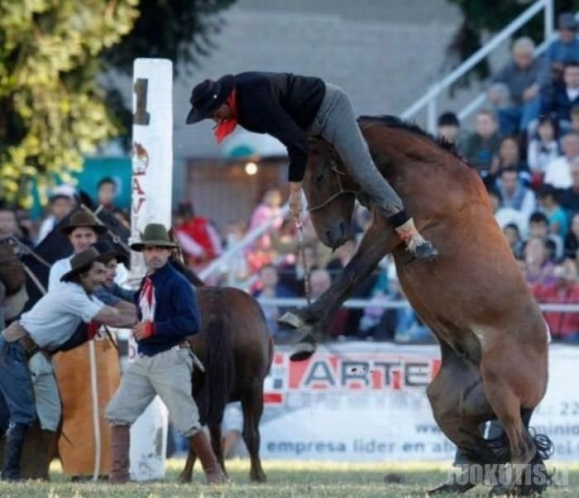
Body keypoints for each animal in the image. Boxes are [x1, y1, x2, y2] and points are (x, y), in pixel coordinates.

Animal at [280, 115, 552, 494]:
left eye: (319, 176)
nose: (331, 235)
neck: (427, 168)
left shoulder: (388, 228)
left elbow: (353, 273)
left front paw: (303, 320)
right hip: (448, 404)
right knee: (487, 452)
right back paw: (458, 485)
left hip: (501, 388)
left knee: (522, 447)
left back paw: (502, 484)